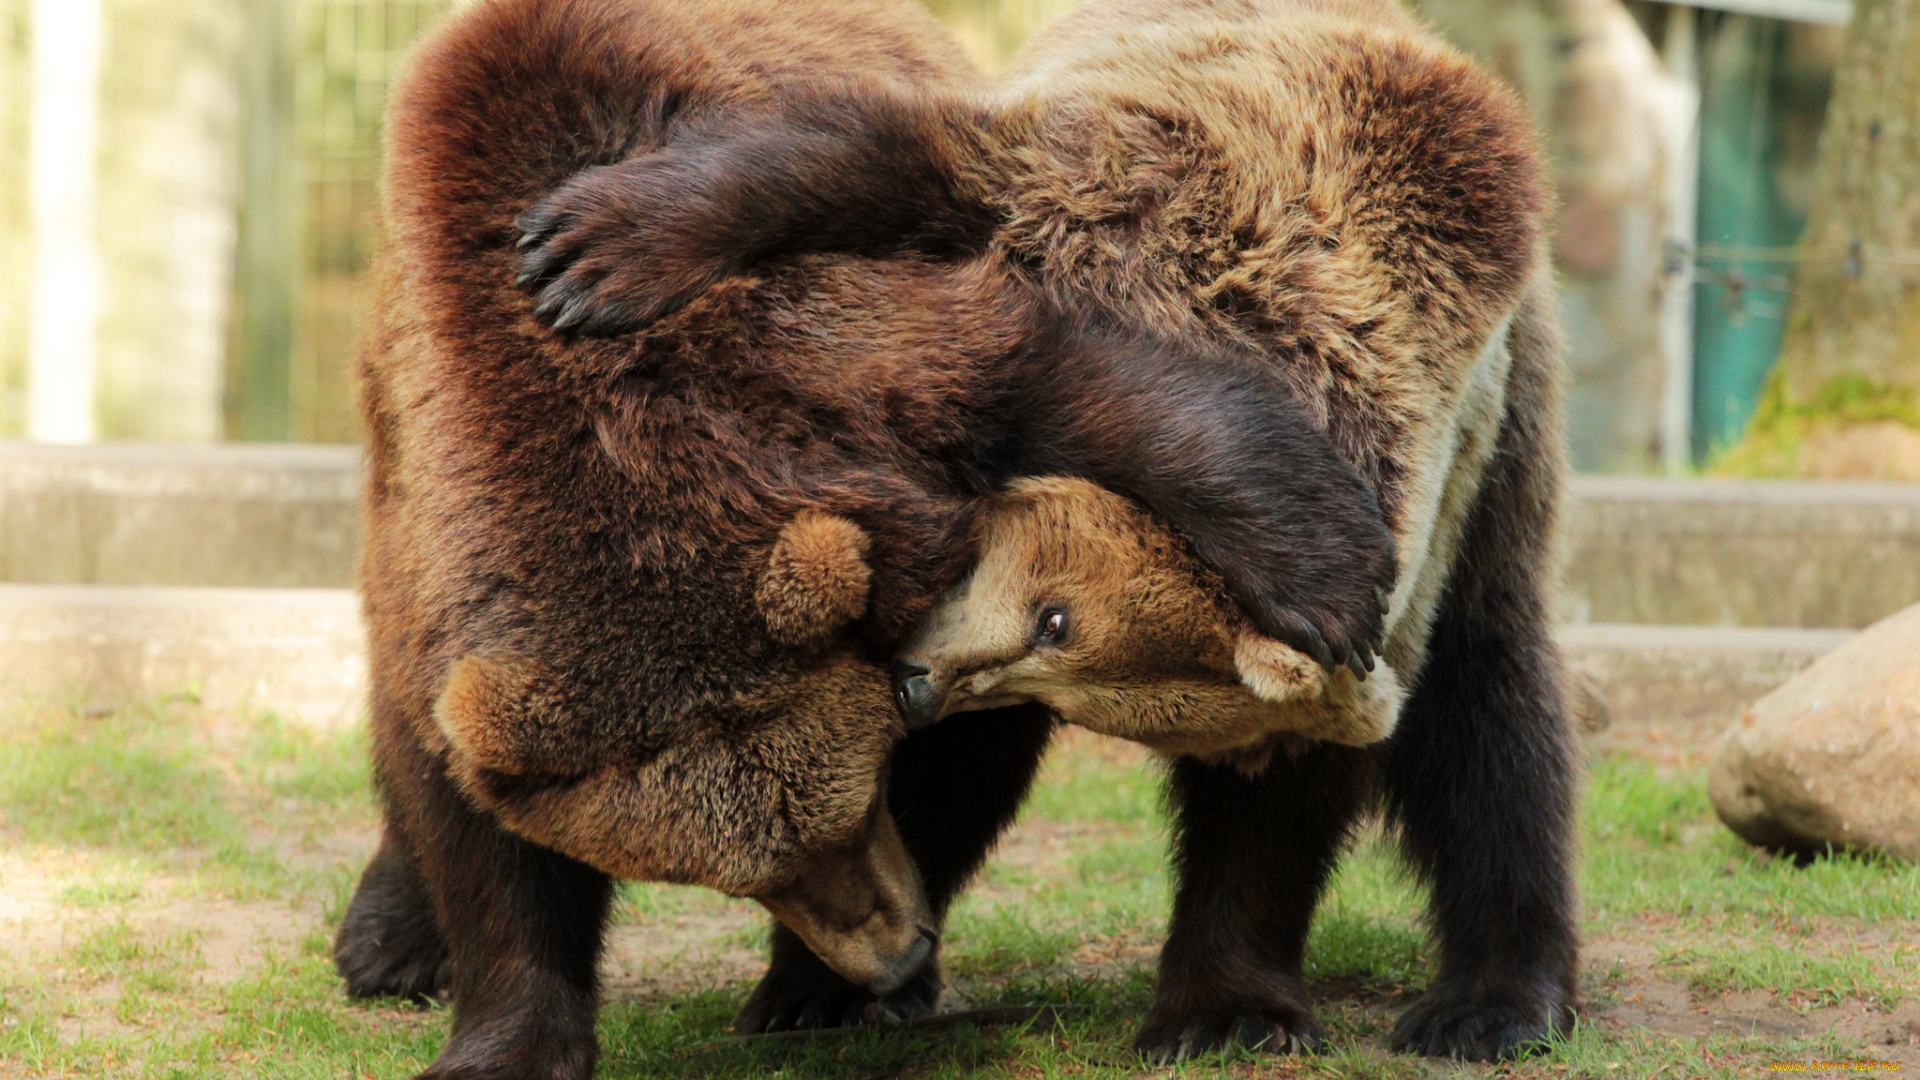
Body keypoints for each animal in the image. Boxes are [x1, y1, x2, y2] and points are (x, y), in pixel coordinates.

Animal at [337, 0, 1397, 1068]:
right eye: (743, 876)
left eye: (857, 808)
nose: (894, 952)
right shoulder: (431, 553)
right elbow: (472, 825)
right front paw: (505, 1032)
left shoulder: (828, 367)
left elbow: (1062, 387)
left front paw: (1324, 574)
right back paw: (386, 941)